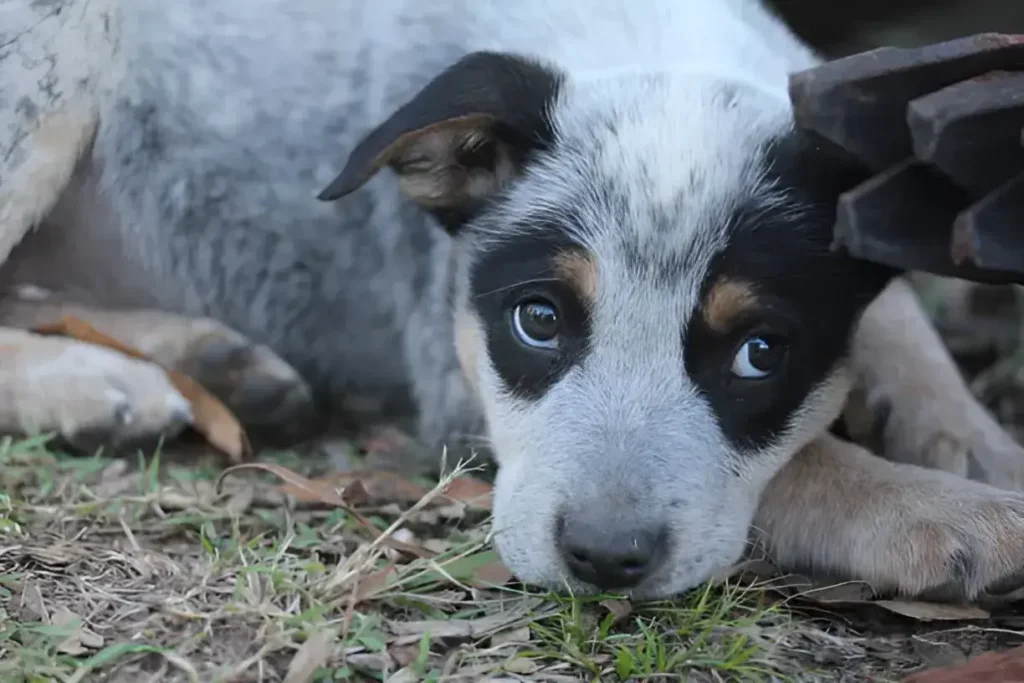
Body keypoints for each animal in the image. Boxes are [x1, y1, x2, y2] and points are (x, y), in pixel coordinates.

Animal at [6, 0, 1024, 598]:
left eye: (760, 352)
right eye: (539, 319)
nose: (604, 560)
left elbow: (898, 319)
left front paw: (975, 442)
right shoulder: (456, 376)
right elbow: (808, 462)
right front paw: (944, 510)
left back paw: (211, 362)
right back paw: (101, 384)